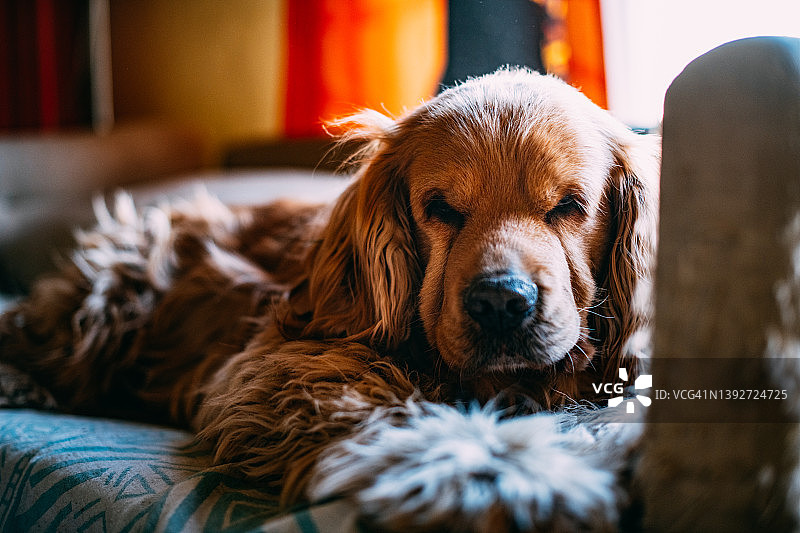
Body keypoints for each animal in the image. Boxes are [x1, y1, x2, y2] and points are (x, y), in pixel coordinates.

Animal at [0, 68, 660, 528]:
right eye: (440, 208)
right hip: (110, 295)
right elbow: (409, 420)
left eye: (570, 205)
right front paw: (508, 478)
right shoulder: (283, 373)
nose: (500, 302)